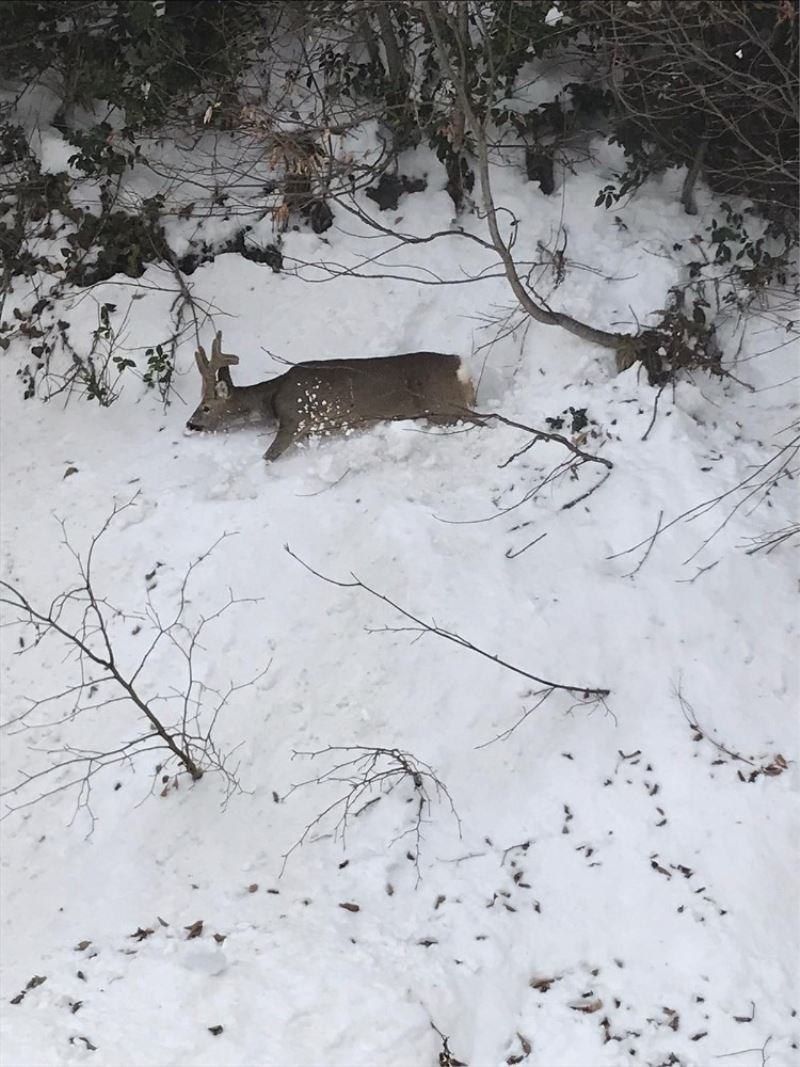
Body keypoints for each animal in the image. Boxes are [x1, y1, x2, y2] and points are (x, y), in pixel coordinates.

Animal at [187, 330, 475, 460]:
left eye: (205, 406)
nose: (189, 424)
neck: (271, 398)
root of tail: (462, 368)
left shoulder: (296, 417)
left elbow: (268, 456)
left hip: (443, 407)